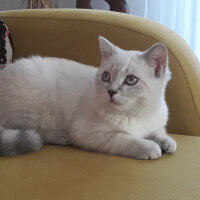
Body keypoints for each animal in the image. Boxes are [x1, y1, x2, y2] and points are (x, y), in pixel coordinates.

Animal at [0, 35, 177, 158]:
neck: (136, 113)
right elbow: (125, 139)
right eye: (106, 76)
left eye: (131, 80)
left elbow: (159, 132)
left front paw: (166, 142)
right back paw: (62, 136)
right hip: (34, 108)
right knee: (34, 132)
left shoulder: (155, 123)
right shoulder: (90, 133)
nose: (111, 91)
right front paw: (149, 146)